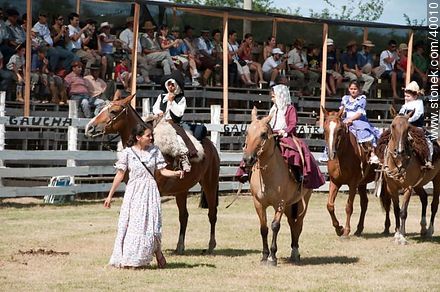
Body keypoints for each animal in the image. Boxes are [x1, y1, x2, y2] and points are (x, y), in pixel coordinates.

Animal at [84, 94, 220, 254]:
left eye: (113, 111)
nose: (89, 127)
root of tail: (210, 145)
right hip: (181, 190)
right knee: (184, 216)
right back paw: (180, 246)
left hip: (210, 184)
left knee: (212, 213)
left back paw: (211, 245)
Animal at [241, 106, 312, 264]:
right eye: (247, 132)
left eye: (263, 134)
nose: (248, 159)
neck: (268, 174)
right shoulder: (258, 203)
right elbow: (264, 228)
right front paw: (264, 255)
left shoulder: (280, 203)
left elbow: (275, 226)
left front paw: (272, 257)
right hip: (290, 206)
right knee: (292, 223)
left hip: (302, 203)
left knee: (298, 224)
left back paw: (295, 252)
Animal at [320, 107, 378, 237]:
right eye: (325, 129)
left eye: (339, 130)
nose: (331, 153)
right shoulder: (335, 182)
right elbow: (329, 205)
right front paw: (339, 229)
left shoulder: (353, 184)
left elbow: (349, 207)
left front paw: (346, 230)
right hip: (363, 184)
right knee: (364, 203)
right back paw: (359, 229)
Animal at [382, 108, 440, 243]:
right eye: (393, 125)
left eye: (408, 127)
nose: (399, 151)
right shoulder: (392, 188)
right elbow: (396, 210)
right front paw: (397, 233)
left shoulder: (408, 188)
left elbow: (403, 212)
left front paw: (402, 237)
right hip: (418, 184)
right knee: (424, 198)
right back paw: (423, 228)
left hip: (437, 180)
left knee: (434, 204)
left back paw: (430, 230)